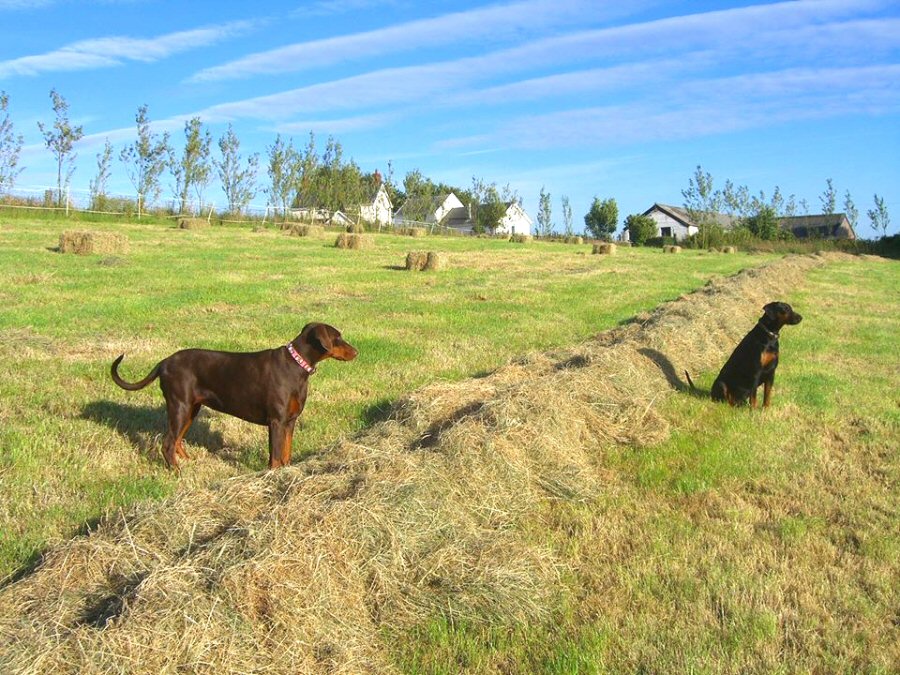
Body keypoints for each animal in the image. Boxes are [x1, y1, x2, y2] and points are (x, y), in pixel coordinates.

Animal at [115, 322, 358, 470]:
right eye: (337, 338)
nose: (356, 352)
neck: (297, 366)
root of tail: (163, 362)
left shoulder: (290, 421)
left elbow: (286, 454)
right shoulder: (276, 421)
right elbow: (275, 457)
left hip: (191, 409)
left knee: (177, 440)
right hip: (179, 406)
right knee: (167, 443)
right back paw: (177, 472)